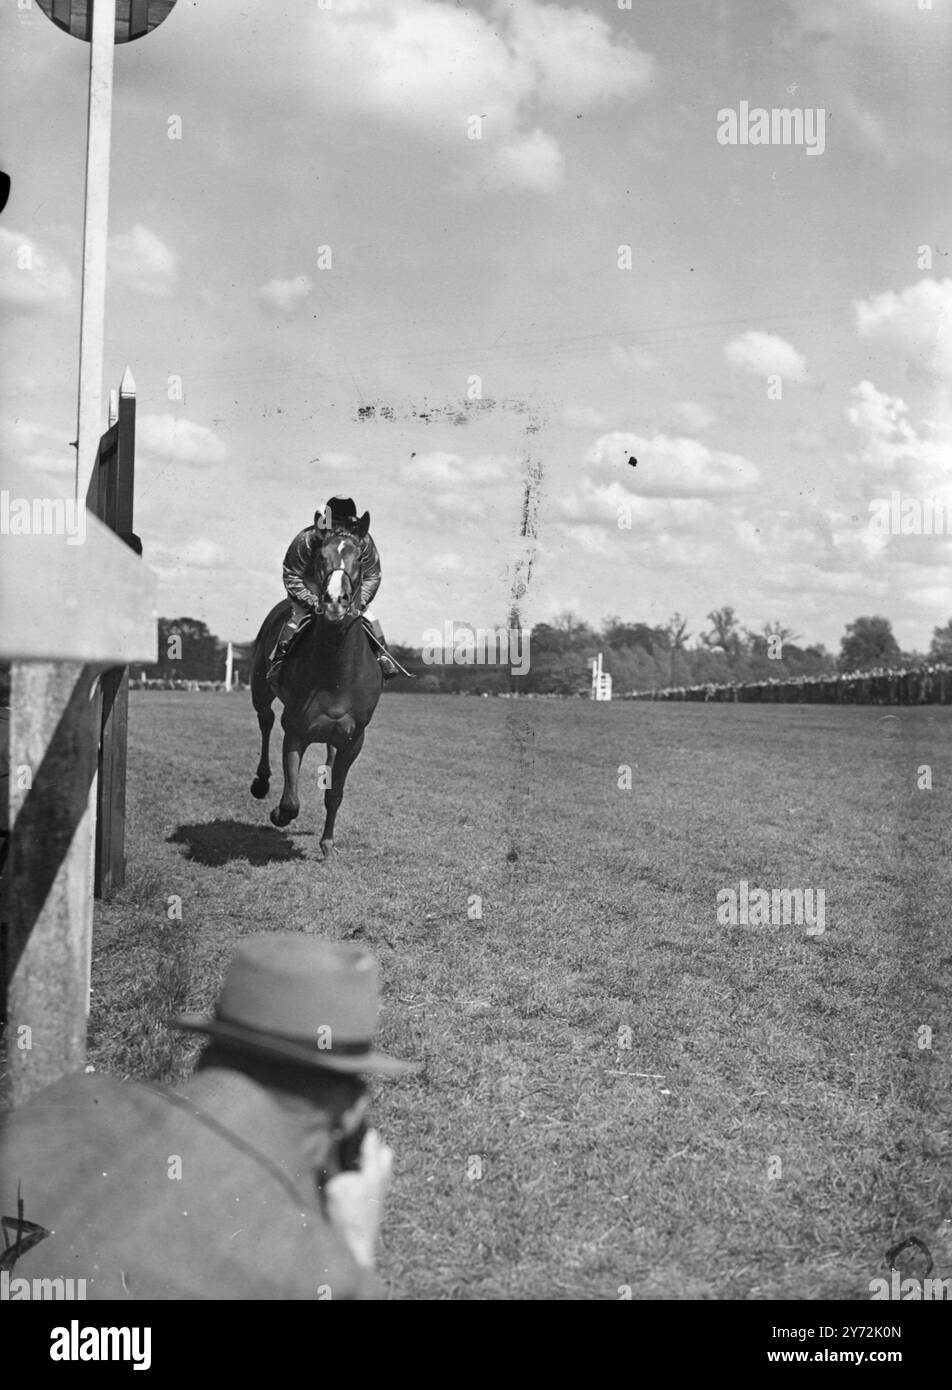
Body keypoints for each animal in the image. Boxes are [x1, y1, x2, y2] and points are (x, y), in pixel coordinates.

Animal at [248, 528, 383, 856]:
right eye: (321, 557)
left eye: (360, 559)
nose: (335, 601)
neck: (337, 671)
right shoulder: (296, 729)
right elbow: (291, 801)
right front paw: (279, 814)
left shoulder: (353, 738)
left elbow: (335, 794)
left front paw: (328, 843)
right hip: (260, 688)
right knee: (265, 719)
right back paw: (261, 782)